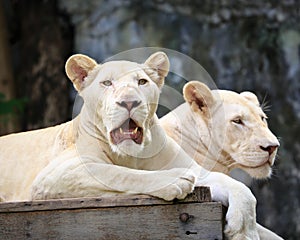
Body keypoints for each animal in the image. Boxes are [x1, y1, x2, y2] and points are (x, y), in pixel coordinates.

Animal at [0, 53, 258, 239]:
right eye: (107, 83)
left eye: (142, 82)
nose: (129, 101)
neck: (131, 155)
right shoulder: (53, 175)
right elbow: (118, 174)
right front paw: (175, 181)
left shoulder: (195, 169)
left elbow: (236, 187)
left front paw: (244, 229)